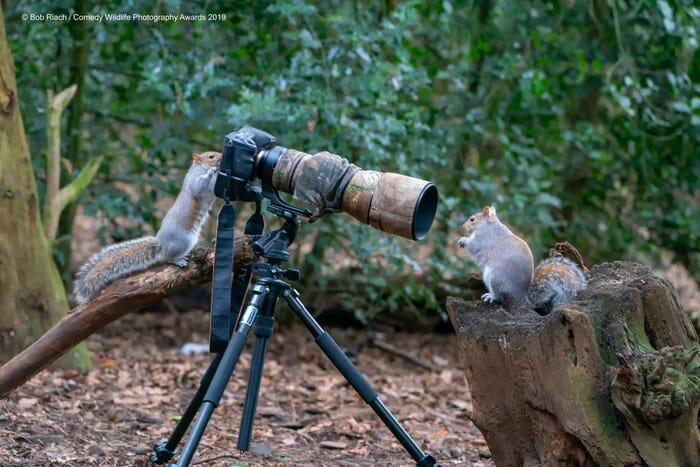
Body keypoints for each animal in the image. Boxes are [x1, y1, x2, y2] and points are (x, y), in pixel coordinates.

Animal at [72, 152, 220, 306]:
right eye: (211, 156)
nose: (220, 156)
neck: (199, 168)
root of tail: (161, 242)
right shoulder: (193, 182)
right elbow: (199, 186)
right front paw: (212, 172)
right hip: (185, 241)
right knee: (167, 256)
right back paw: (177, 260)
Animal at [456, 206, 588, 308]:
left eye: (472, 219)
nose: (463, 226)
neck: (489, 224)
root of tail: (522, 296)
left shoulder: (482, 238)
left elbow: (474, 246)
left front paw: (463, 240)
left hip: (495, 278)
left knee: (500, 296)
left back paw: (491, 296)